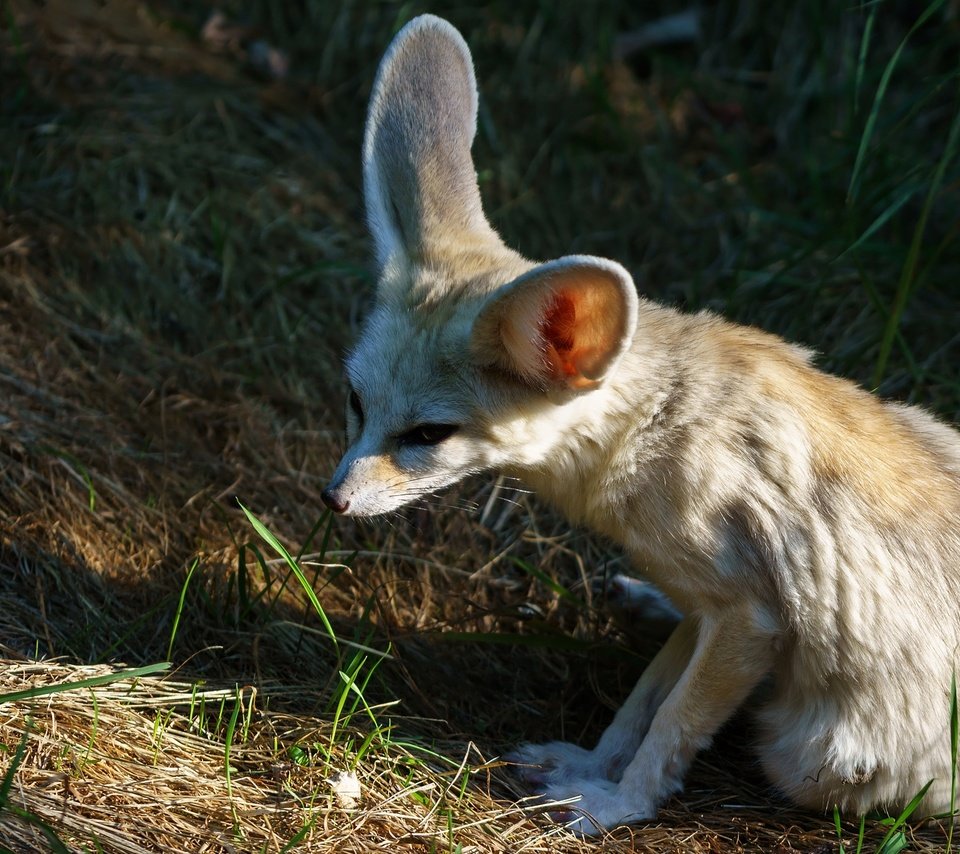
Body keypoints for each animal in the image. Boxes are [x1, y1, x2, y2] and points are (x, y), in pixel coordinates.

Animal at [320, 11, 960, 836]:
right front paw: (593, 765)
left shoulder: (749, 616)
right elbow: (642, 702)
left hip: (808, 753)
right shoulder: (716, 604)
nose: (333, 500)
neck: (661, 421)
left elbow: (672, 724)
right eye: (356, 403)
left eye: (427, 437)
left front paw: (616, 802)